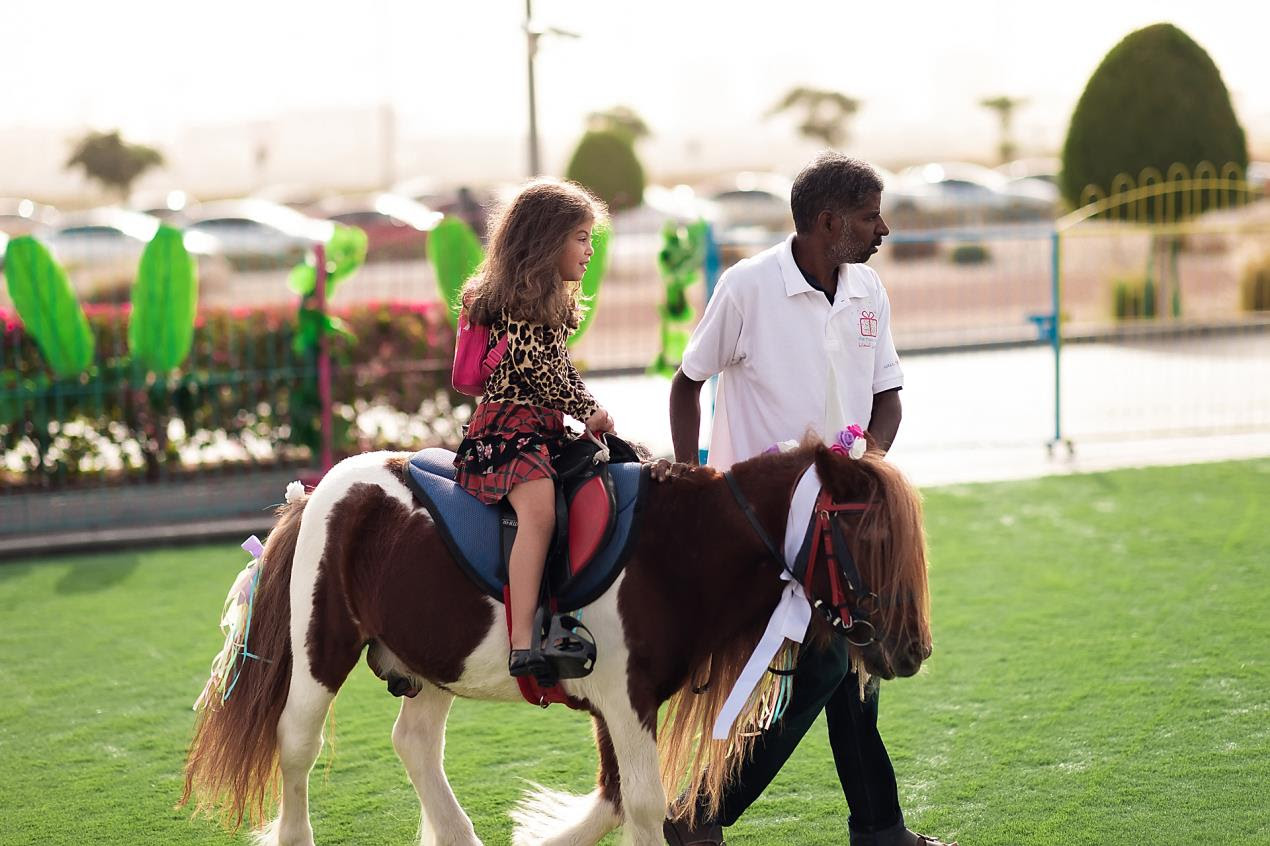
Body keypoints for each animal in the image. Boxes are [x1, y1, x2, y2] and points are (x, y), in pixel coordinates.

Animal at [181, 438, 932, 846]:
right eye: (870, 539)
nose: (913, 651)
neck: (675, 548)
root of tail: (314, 493)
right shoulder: (625, 698)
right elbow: (644, 802)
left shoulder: (620, 703)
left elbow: (616, 798)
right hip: (322, 645)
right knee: (296, 744)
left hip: (436, 657)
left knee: (415, 743)